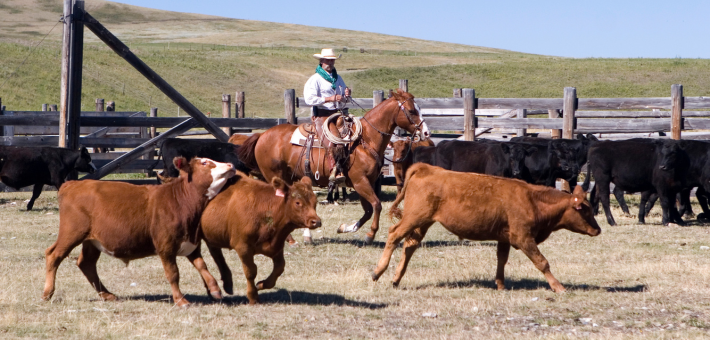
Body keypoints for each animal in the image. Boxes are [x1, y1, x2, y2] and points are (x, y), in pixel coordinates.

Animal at [42, 158, 236, 306]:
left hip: (92, 241)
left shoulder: (192, 244)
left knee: (86, 264)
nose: (230, 165)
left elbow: (202, 265)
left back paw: (107, 294)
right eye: (205, 162)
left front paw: (215, 289)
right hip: (71, 233)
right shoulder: (166, 247)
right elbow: (173, 274)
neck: (180, 200)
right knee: (54, 255)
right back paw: (48, 292)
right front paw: (181, 300)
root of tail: (73, 184)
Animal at [239, 89, 432, 244]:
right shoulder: (360, 182)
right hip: (275, 176)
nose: (426, 132)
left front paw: (346, 228)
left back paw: (304, 236)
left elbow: (368, 210)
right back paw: (291, 239)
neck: (365, 141)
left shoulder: (364, 182)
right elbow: (376, 205)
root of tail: (262, 135)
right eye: (411, 110)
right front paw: (370, 235)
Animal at [372, 163, 600, 290]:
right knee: (393, 235)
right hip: (414, 217)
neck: (532, 200)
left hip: (423, 222)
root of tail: (427, 168)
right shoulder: (523, 237)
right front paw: (558, 287)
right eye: (585, 209)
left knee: (409, 245)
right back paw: (378, 271)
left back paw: (396, 279)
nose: (598, 229)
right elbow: (542, 262)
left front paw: (500, 284)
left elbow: (502, 260)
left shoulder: (505, 238)